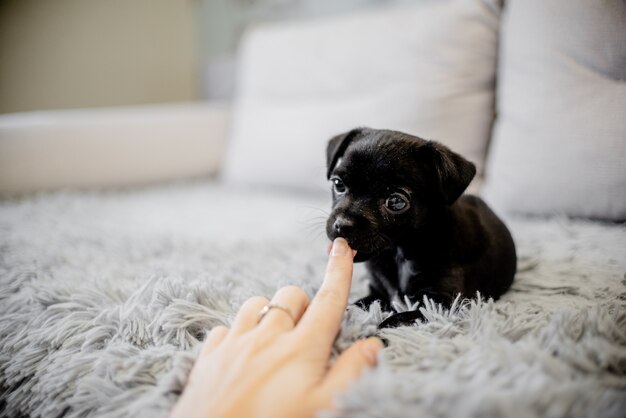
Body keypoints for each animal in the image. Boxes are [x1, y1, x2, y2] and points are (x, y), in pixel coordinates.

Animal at [324, 127, 516, 330]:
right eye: (338, 184)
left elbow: (398, 319)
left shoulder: (443, 304)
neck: (398, 254)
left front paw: (377, 330)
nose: (342, 224)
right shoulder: (378, 294)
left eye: (396, 202)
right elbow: (358, 304)